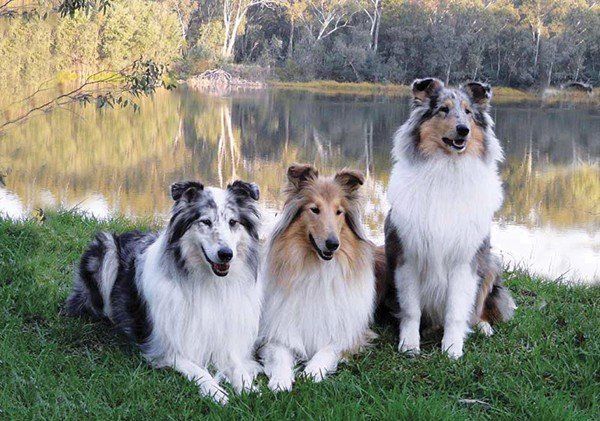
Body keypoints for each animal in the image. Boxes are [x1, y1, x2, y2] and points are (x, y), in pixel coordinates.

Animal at [66, 179, 262, 402]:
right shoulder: (164, 347)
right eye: (205, 221)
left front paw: (247, 386)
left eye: (233, 222)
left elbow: (236, 365)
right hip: (106, 247)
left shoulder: (225, 340)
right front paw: (215, 391)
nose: (226, 254)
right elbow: (198, 369)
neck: (208, 283)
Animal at [258, 164, 380, 390]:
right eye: (314, 209)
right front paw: (281, 380)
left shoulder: (347, 333)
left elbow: (327, 350)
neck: (317, 269)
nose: (333, 244)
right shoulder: (277, 331)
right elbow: (280, 354)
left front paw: (313, 371)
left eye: (339, 212)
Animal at [384, 78, 516, 358]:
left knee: (478, 307)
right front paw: (409, 344)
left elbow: (457, 310)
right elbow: (411, 310)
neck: (446, 169)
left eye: (468, 112)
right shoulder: (407, 257)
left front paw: (453, 348)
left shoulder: (465, 260)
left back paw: (483, 327)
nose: (463, 130)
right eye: (443, 109)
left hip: (489, 264)